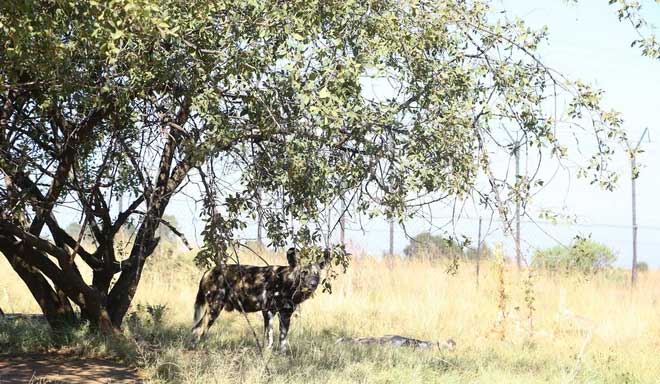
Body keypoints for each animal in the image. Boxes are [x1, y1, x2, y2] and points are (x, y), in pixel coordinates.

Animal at [191, 249, 328, 352]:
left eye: (316, 274)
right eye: (304, 272)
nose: (313, 284)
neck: (286, 282)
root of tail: (208, 271)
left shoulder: (285, 314)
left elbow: (282, 340)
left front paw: (282, 356)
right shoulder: (268, 311)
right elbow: (269, 337)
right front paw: (267, 353)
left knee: (195, 329)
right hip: (214, 308)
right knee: (199, 330)